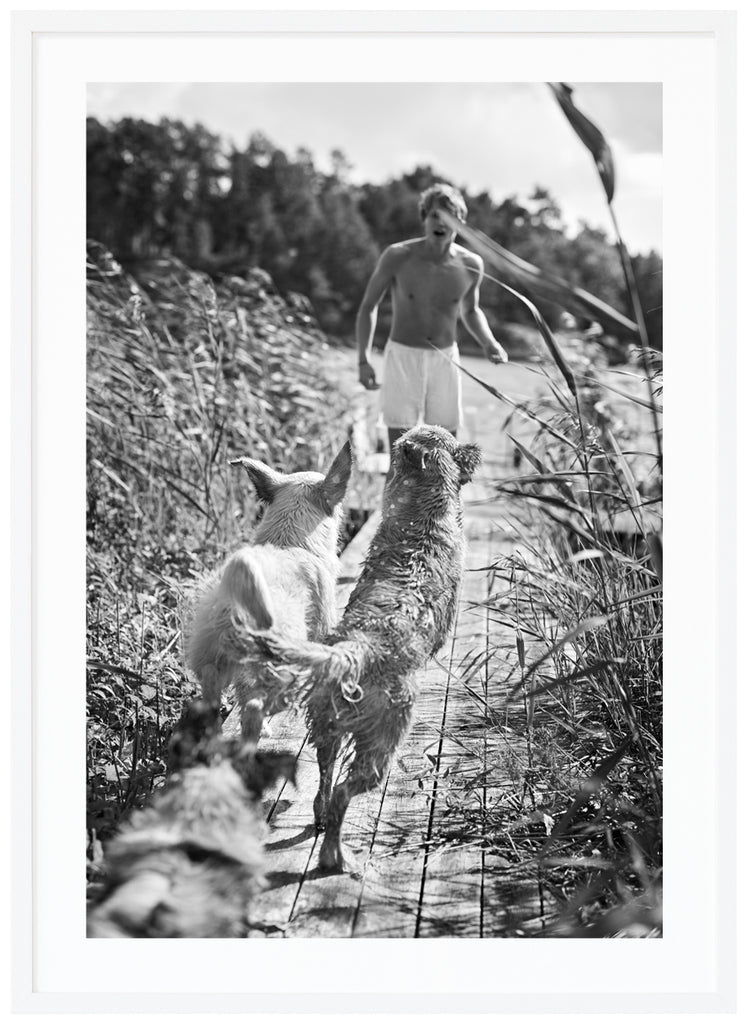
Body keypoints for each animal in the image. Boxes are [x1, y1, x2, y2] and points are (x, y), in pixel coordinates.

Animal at [251, 423, 481, 872]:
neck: (421, 518)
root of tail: (355, 651)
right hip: (381, 743)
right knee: (343, 791)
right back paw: (335, 856)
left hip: (326, 729)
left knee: (324, 780)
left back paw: (321, 821)